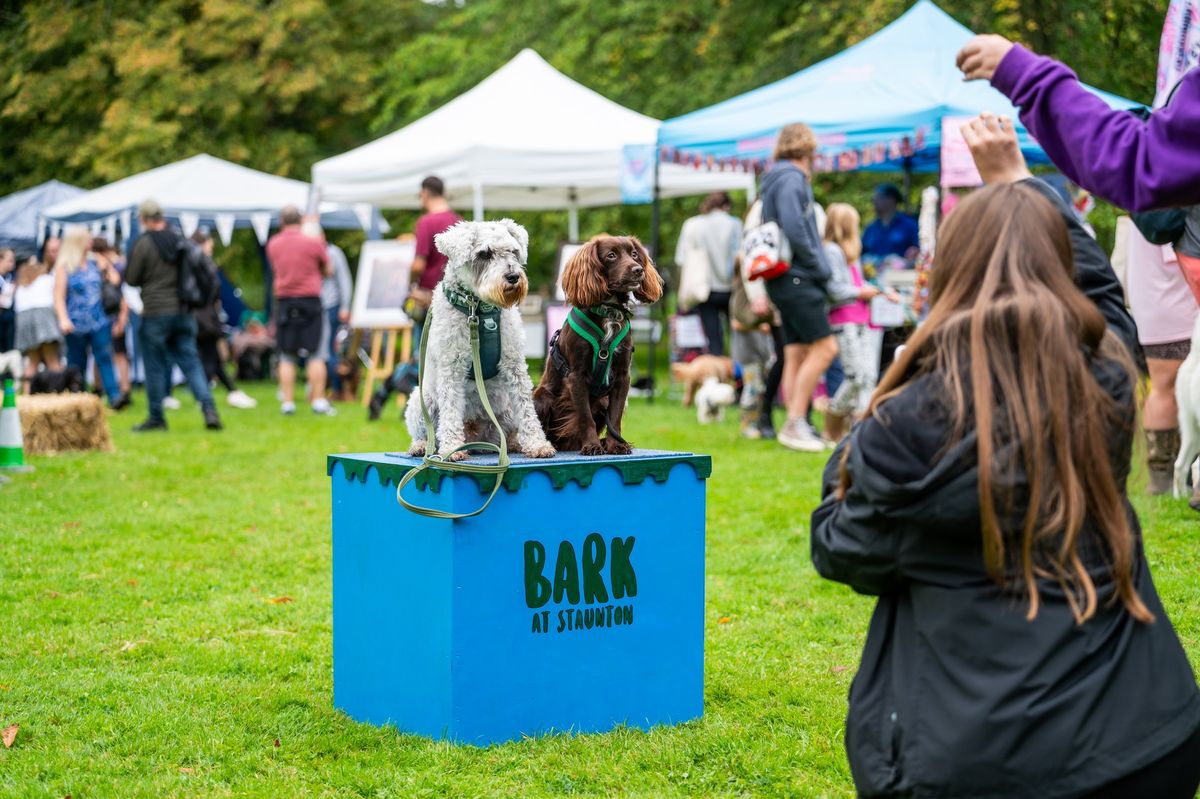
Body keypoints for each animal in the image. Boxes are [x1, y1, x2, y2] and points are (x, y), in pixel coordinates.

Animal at [537, 235, 667, 453]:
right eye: (611, 255)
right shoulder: (576, 376)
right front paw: (591, 445)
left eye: (634, 254)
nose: (638, 270)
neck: (608, 312)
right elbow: (584, 416)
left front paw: (616, 445)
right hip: (542, 399)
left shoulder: (623, 376)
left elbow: (614, 417)